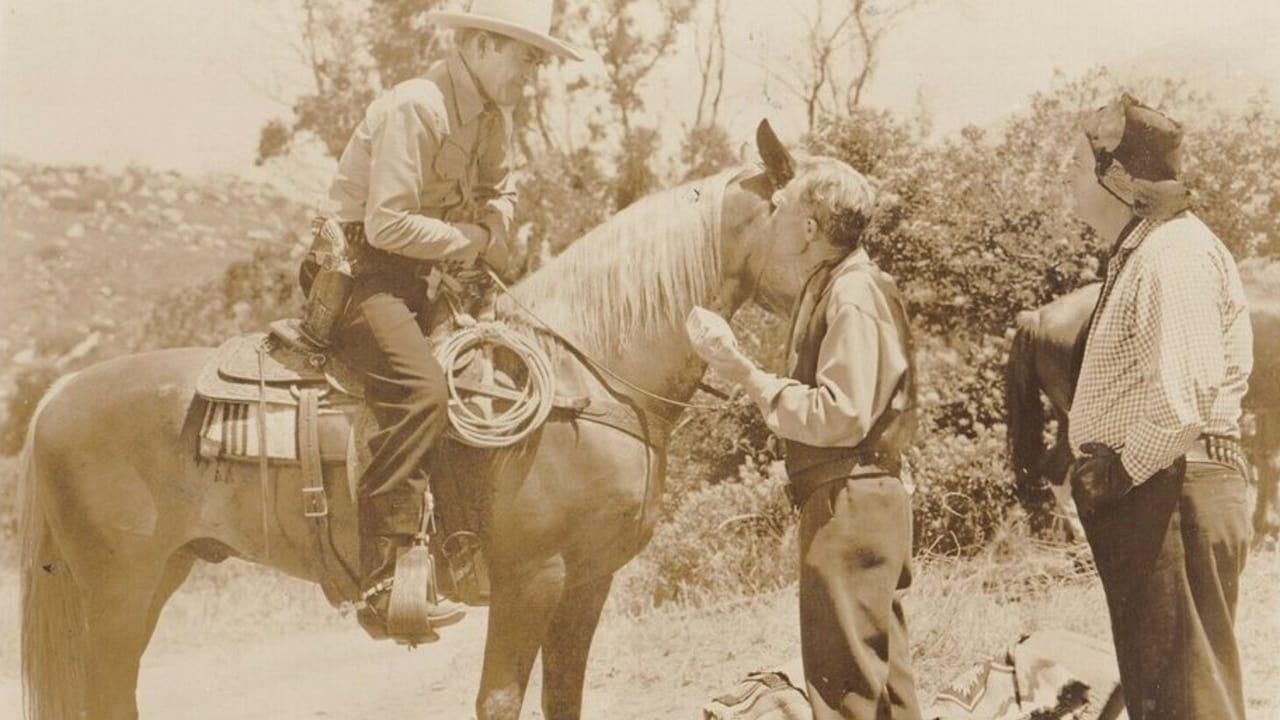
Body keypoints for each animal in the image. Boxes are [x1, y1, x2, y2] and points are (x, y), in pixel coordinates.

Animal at [17, 121, 880, 717]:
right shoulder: (533, 580)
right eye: (823, 213)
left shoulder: (588, 582)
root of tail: (56, 397)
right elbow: (498, 700)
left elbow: (562, 698)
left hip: (156, 579)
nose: (866, 274)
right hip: (119, 593)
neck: (591, 378)